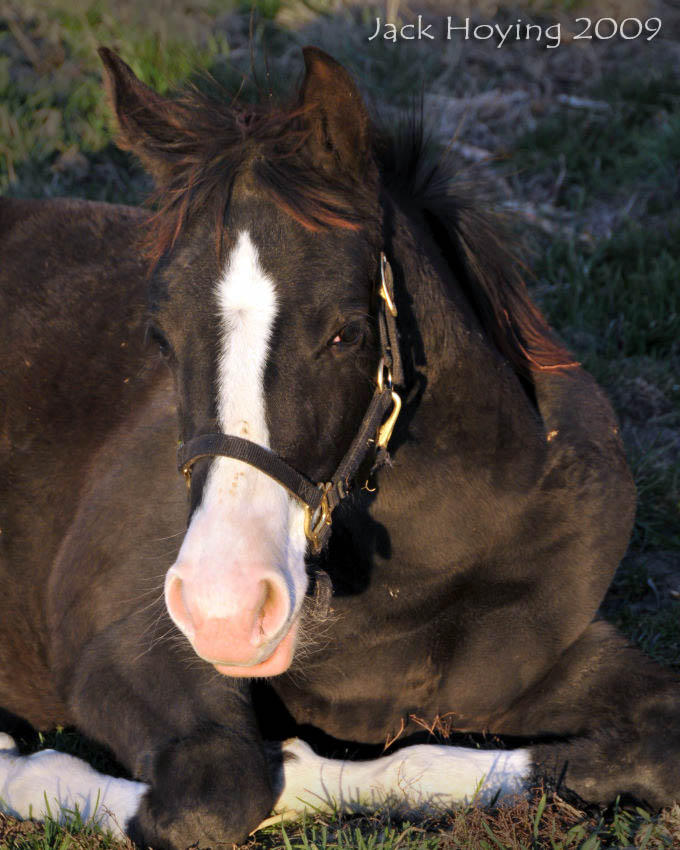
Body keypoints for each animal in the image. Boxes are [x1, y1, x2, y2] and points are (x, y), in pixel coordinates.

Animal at [1, 46, 680, 848]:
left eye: (346, 333)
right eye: (159, 337)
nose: (225, 606)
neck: (426, 566)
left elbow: (653, 740)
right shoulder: (120, 644)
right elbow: (216, 791)